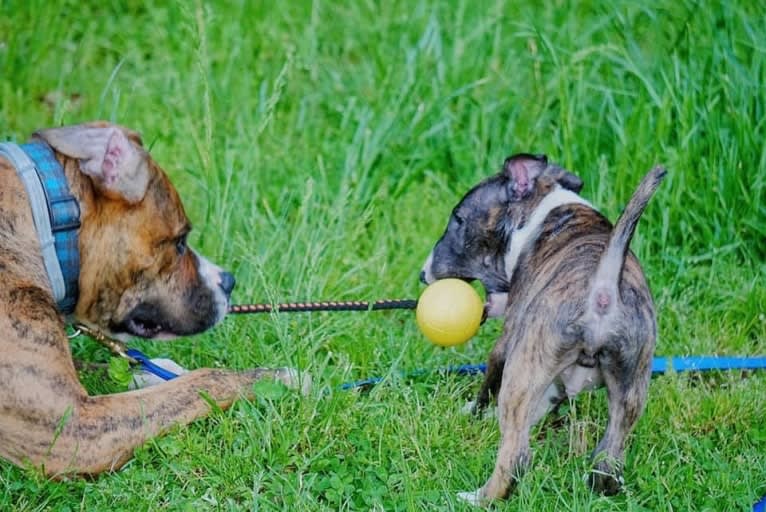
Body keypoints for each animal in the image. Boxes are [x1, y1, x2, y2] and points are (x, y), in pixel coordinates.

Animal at [420, 153, 664, 504]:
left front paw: (472, 412)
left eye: (458, 219)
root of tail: (603, 291)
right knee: (607, 461)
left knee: (516, 456)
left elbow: (488, 387)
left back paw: (476, 497)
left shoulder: (508, 342)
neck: (542, 213)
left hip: (523, 366)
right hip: (631, 384)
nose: (423, 273)